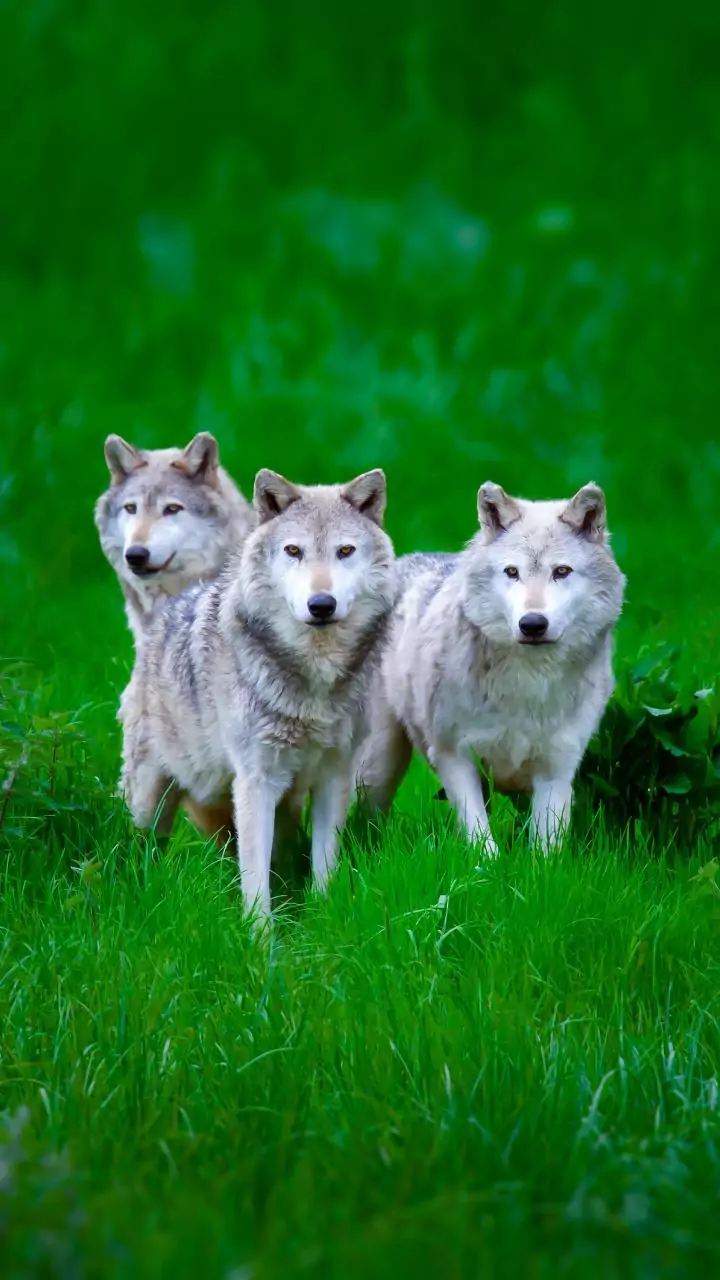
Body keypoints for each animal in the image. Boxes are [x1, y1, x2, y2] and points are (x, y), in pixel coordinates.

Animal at [119, 468, 396, 918]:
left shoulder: (333, 776)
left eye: (345, 551)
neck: (313, 677)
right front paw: (260, 936)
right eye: (293, 550)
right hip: (150, 801)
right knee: (143, 849)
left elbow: (324, 866)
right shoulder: (255, 782)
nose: (321, 604)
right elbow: (255, 883)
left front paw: (322, 918)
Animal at [355, 482, 625, 853]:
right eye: (512, 572)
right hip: (379, 767)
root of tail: (402, 561)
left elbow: (545, 853)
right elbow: (482, 844)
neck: (529, 682)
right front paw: (486, 867)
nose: (533, 624)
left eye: (561, 571)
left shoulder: (557, 770)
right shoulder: (454, 757)